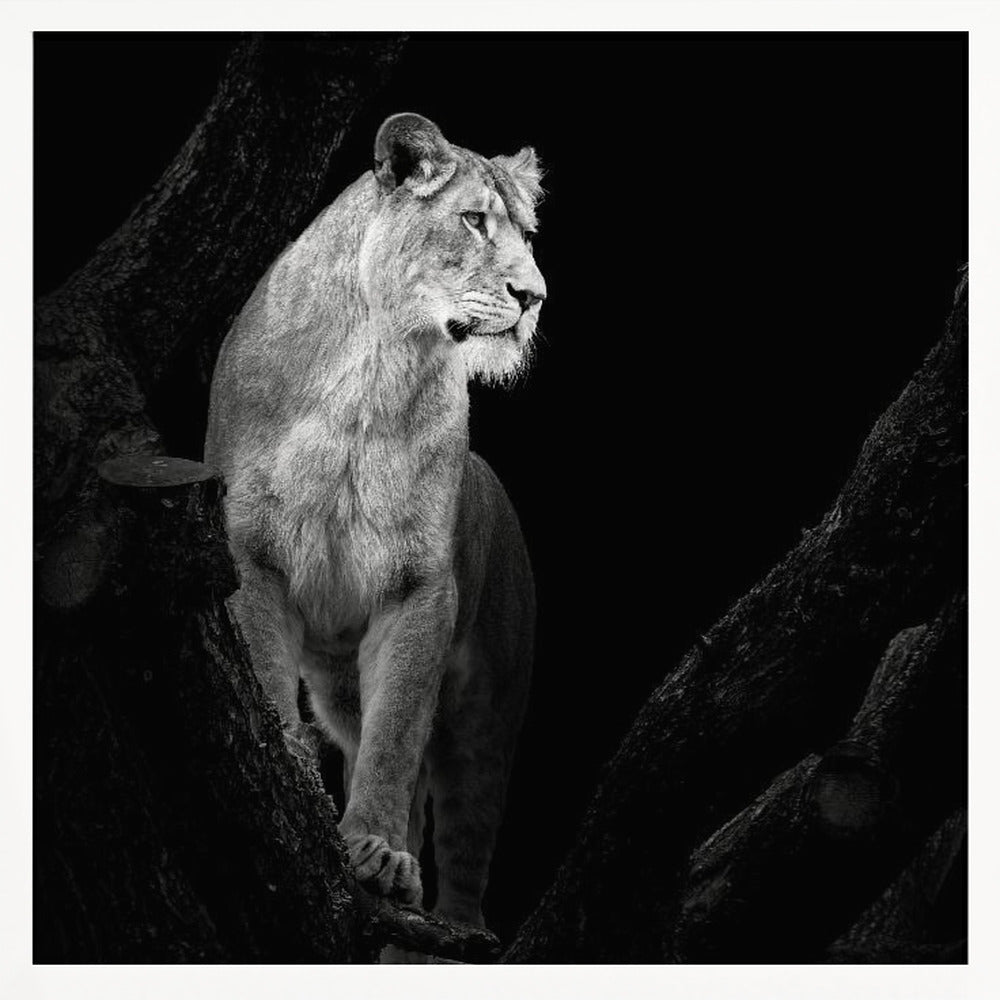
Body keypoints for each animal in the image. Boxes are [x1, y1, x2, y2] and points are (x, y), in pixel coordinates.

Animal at [204, 113, 545, 938]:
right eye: (473, 220)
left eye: (527, 232)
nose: (535, 296)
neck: (376, 368)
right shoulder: (250, 554)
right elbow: (269, 682)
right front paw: (296, 782)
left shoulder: (419, 588)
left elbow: (397, 738)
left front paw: (380, 853)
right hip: (338, 685)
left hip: (492, 709)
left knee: (464, 829)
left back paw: (455, 930)